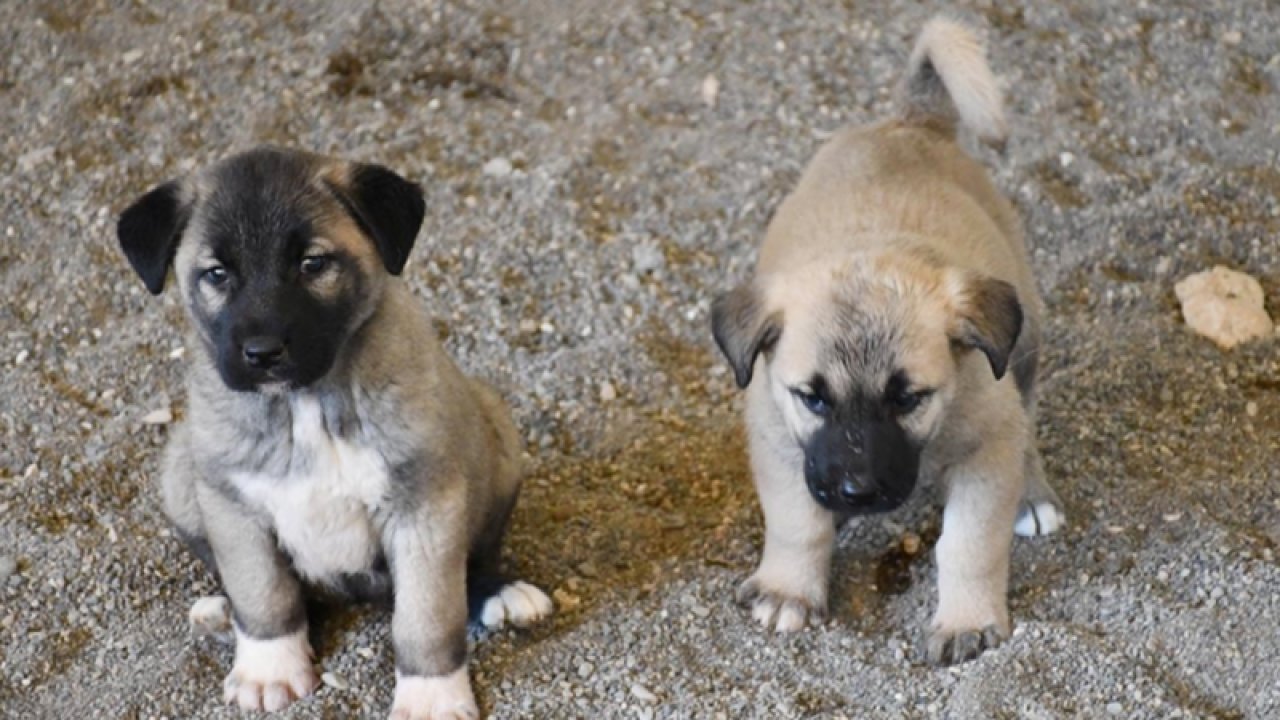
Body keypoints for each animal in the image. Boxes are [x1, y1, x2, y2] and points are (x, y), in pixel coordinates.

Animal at [120, 147, 555, 717]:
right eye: (216, 273)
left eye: (313, 264)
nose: (262, 353)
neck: (304, 402)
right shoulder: (232, 503)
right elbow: (265, 592)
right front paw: (269, 667)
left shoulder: (424, 505)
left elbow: (428, 616)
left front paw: (431, 694)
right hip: (179, 468)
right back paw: (224, 611)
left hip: (495, 430)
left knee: (475, 559)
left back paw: (499, 591)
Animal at [716, 16, 1064, 666]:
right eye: (812, 398)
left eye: (907, 399)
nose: (857, 490)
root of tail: (910, 122)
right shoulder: (777, 438)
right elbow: (796, 522)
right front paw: (788, 589)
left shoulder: (986, 451)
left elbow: (969, 544)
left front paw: (966, 619)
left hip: (1024, 345)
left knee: (1027, 419)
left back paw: (1032, 495)